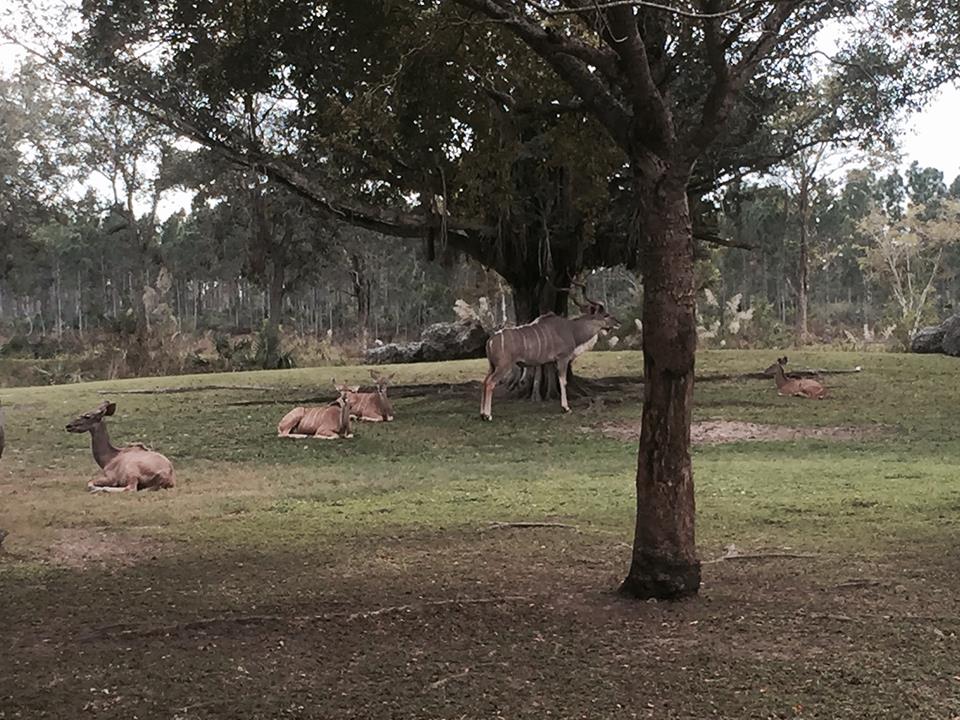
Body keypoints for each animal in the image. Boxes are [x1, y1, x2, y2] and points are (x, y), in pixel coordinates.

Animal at [480, 285, 618, 420]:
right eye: (606, 315)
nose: (618, 323)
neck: (572, 330)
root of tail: (490, 340)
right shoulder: (563, 358)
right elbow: (563, 381)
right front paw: (566, 408)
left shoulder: (552, 361)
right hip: (503, 366)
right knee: (490, 382)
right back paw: (488, 415)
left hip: (492, 366)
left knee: (485, 381)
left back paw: (482, 413)